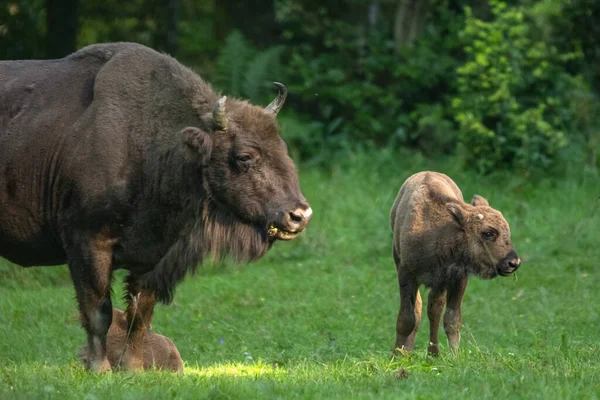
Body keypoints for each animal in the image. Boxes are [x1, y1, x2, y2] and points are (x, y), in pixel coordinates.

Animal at [1, 43, 314, 372]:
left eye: (283, 149)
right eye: (244, 157)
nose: (299, 215)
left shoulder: (153, 257)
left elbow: (140, 316)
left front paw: (134, 369)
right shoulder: (87, 243)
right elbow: (98, 312)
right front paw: (101, 369)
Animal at [390, 170, 520, 354]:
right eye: (488, 233)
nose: (513, 262)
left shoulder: (456, 279)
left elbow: (452, 320)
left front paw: (453, 355)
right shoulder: (406, 275)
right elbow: (407, 319)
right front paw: (398, 354)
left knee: (434, 310)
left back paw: (433, 353)